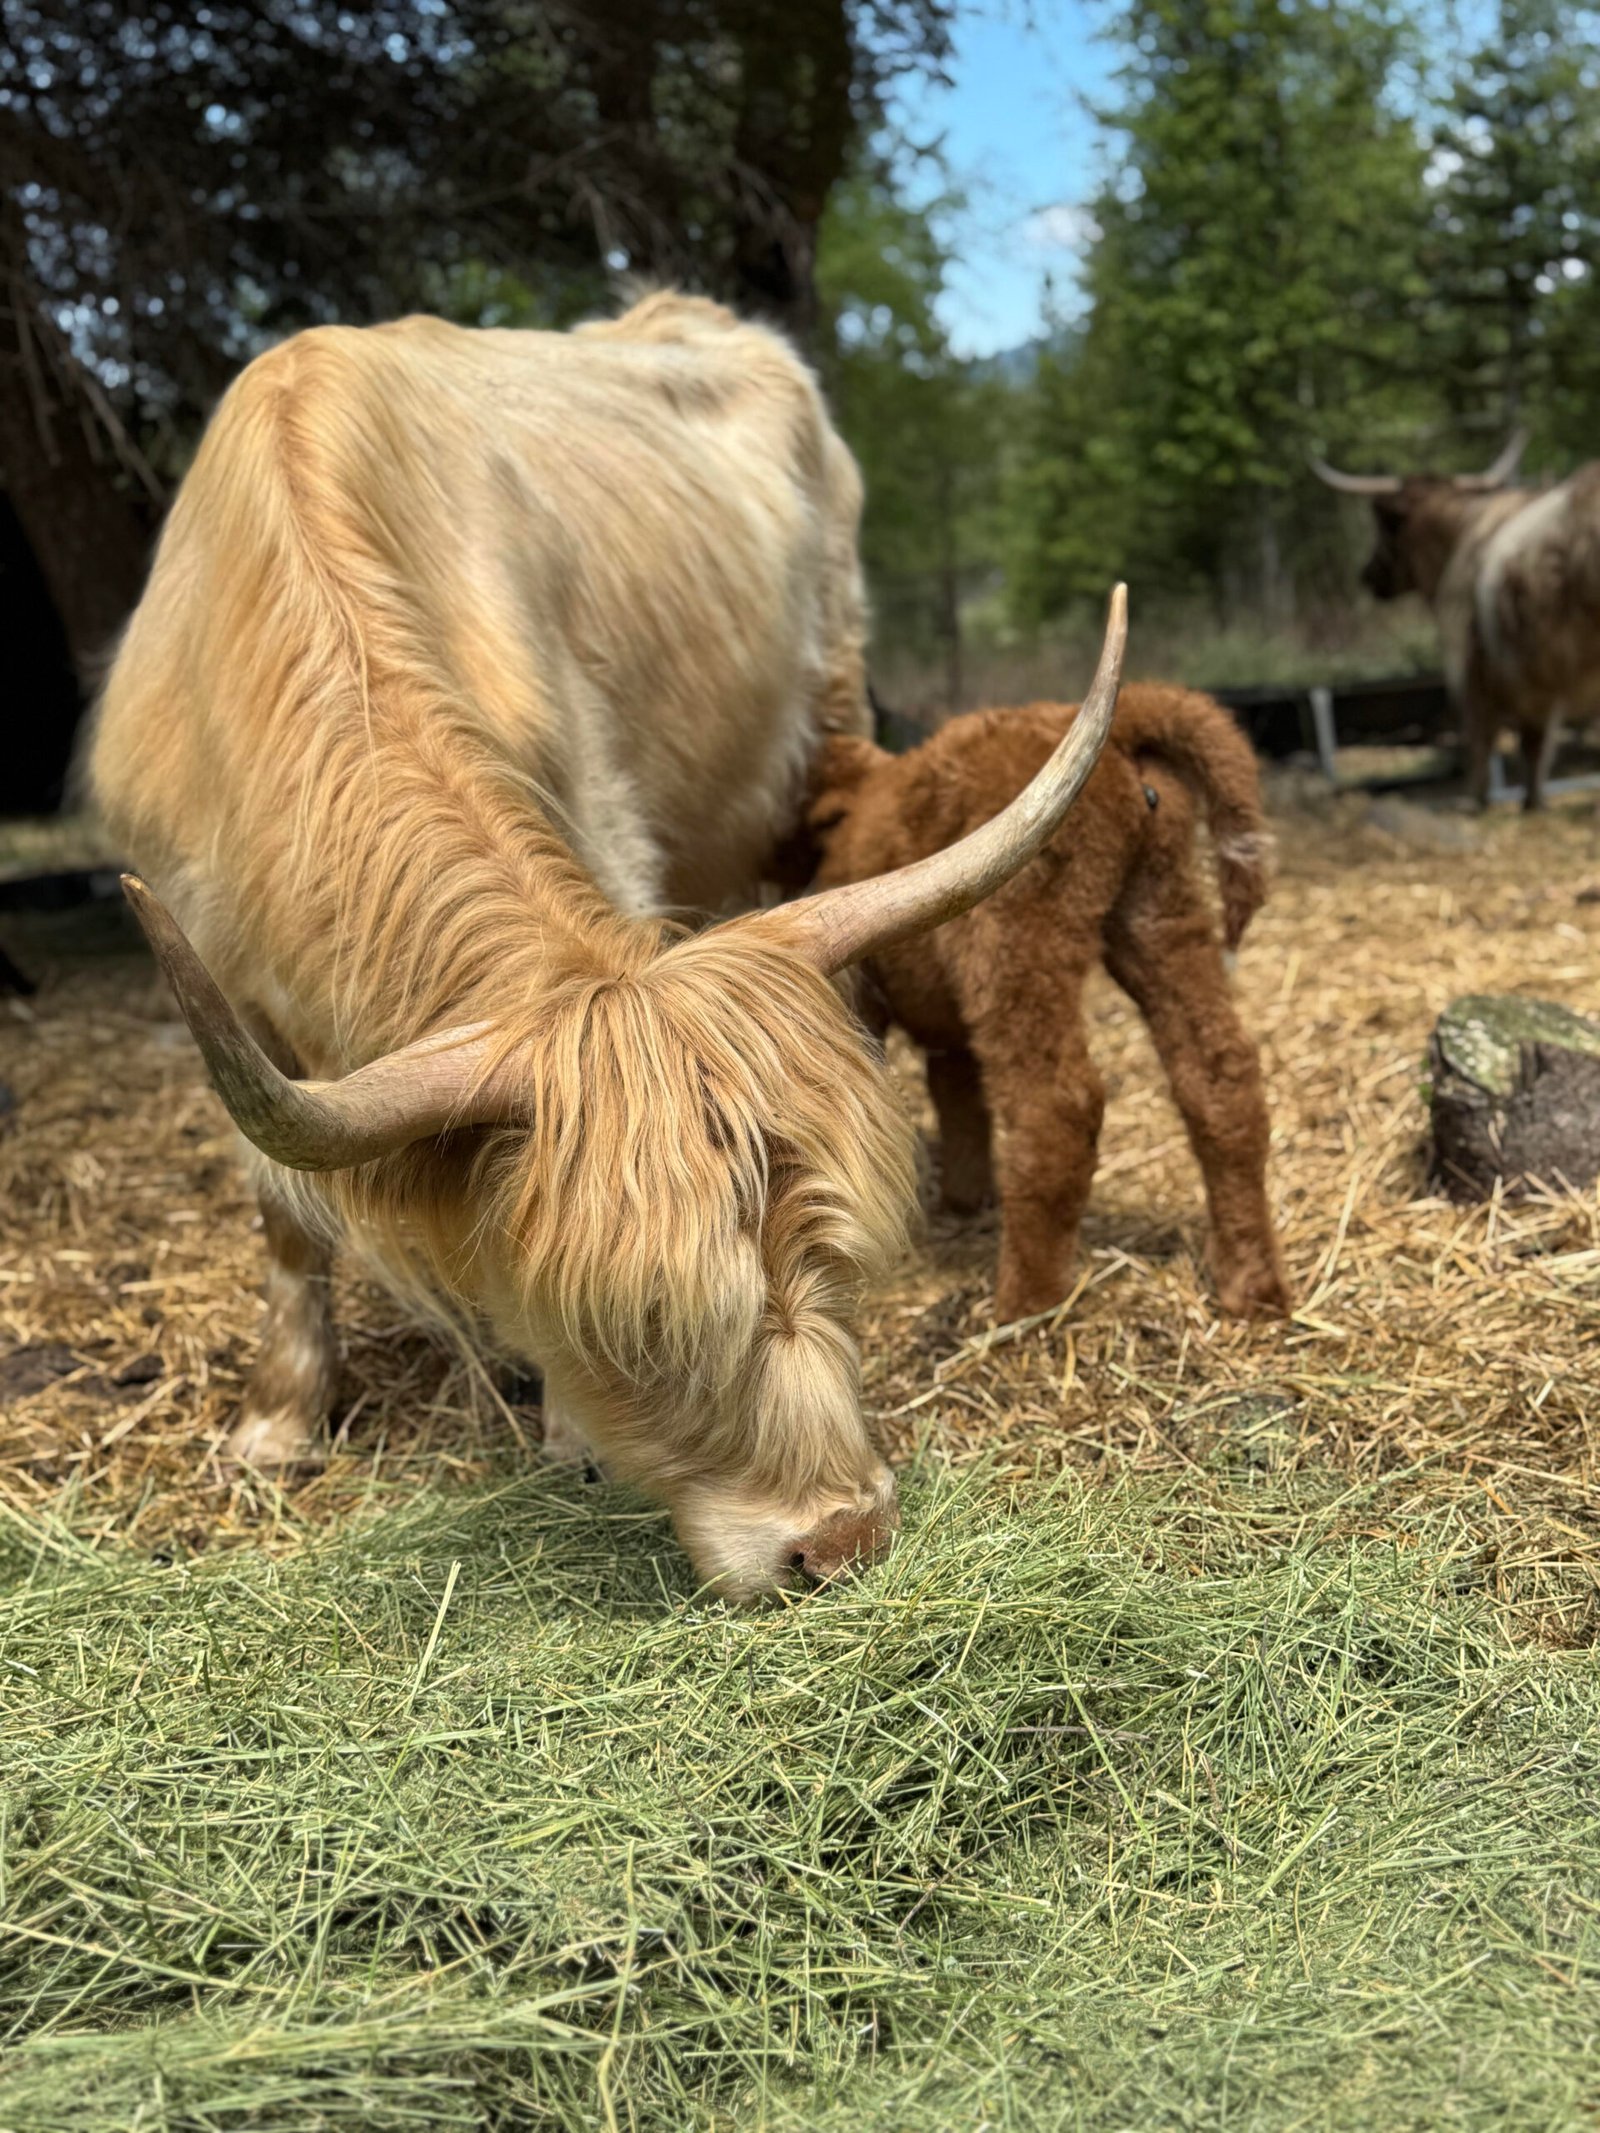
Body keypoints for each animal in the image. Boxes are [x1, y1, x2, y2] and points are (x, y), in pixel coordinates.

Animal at [89, 291, 1126, 1598]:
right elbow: (284, 1211)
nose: (842, 1538)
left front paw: (560, 1434)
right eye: (637, 1323)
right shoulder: (222, 989)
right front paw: (277, 1422)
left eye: (840, 1260)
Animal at [794, 685, 1289, 1325]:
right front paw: (964, 1198)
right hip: (1159, 909)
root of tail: (1125, 717)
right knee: (1221, 1075)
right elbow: (957, 1093)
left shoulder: (860, 991)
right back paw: (1252, 1284)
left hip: (1017, 935)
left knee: (1056, 1106)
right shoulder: (947, 1022)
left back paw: (1025, 1303)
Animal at [1313, 433, 1600, 810]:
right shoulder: (1536, 680)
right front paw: (1532, 802)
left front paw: (1480, 802)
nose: (1367, 575)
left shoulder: (1474, 669)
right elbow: (1536, 743)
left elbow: (1486, 741)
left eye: (1385, 527)